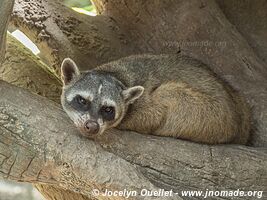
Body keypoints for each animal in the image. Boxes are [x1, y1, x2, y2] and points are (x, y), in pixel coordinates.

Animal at [60, 54, 251, 144]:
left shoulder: (145, 105)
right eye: (82, 101)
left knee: (168, 91)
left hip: (211, 117)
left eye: (108, 110)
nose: (92, 126)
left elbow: (153, 114)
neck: (116, 75)